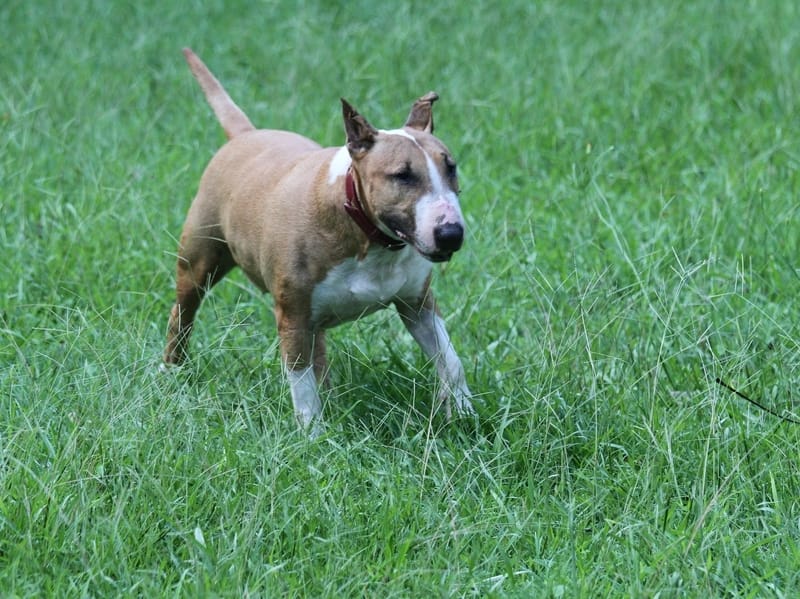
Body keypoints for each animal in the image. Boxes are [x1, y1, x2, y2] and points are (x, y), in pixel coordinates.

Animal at [164, 47, 476, 432]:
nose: (451, 235)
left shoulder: (417, 304)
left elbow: (451, 359)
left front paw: (463, 412)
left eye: (451, 167)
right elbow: (301, 383)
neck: (367, 238)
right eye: (402, 176)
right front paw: (312, 434)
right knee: (182, 314)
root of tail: (244, 135)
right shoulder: (292, 315)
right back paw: (171, 371)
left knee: (319, 349)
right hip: (197, 263)